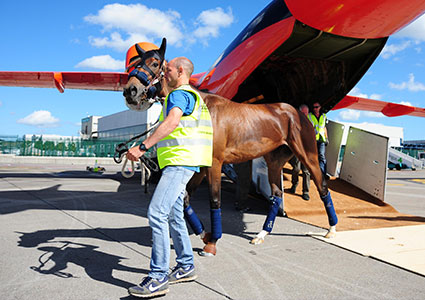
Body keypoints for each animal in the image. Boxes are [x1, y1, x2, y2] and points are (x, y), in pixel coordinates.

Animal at [123, 38, 338, 256]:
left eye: (155, 63)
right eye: (135, 63)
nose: (130, 91)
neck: (203, 108)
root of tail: (297, 113)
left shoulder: (215, 164)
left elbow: (214, 200)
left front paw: (212, 242)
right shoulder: (202, 166)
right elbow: (186, 200)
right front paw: (205, 234)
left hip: (308, 156)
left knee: (322, 186)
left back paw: (331, 229)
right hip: (274, 162)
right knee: (277, 195)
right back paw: (261, 234)